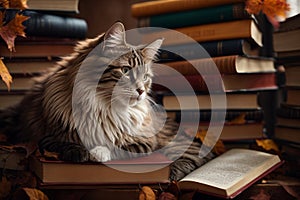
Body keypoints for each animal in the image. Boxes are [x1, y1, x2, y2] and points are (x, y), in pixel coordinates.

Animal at [0, 21, 216, 180]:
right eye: (125, 70)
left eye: (145, 76)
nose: (141, 91)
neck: (104, 107)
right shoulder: (43, 136)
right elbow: (65, 142)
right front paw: (80, 153)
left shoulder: (144, 142)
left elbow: (115, 146)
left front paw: (98, 152)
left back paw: (173, 176)